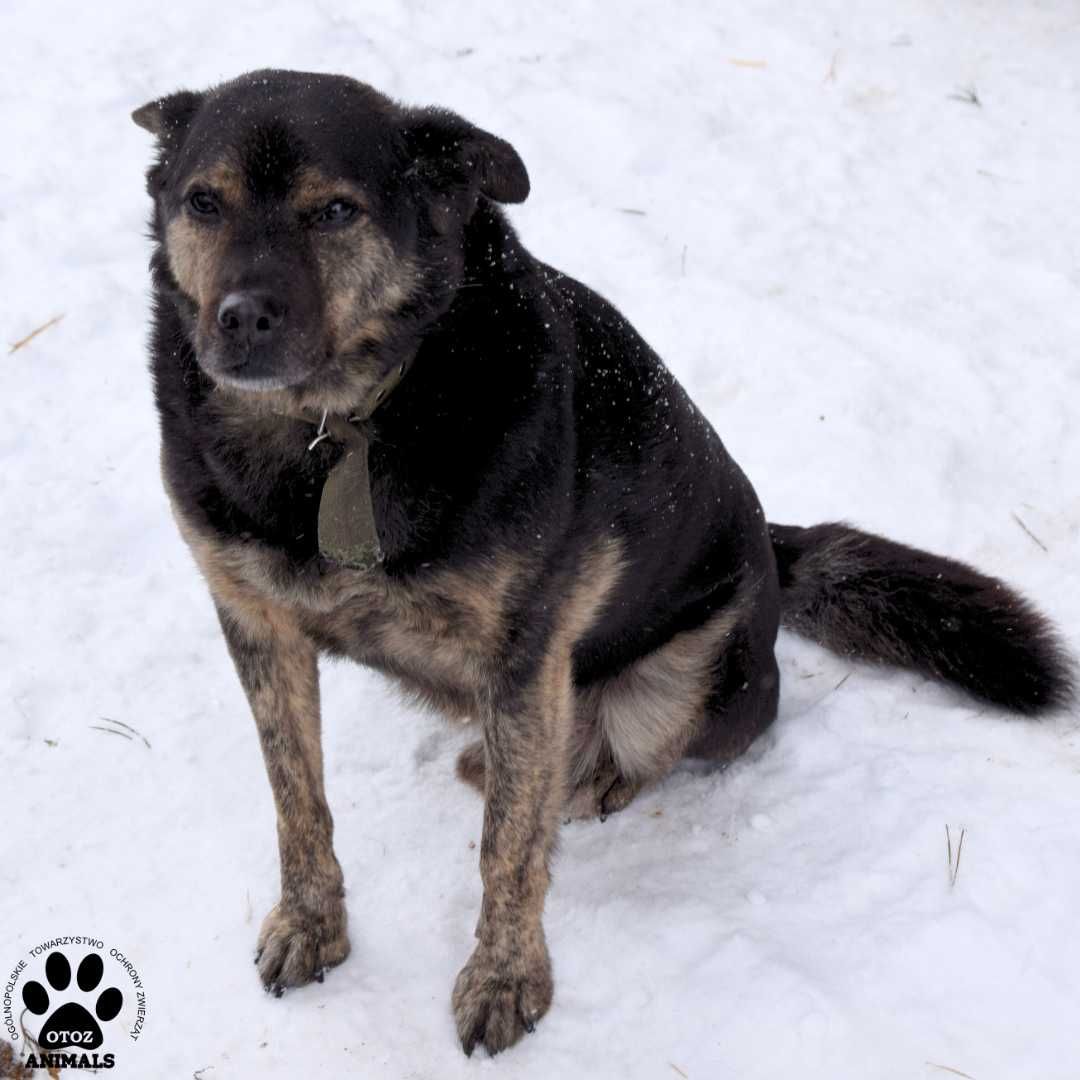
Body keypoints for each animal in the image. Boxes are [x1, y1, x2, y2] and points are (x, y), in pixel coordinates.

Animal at [132, 71, 1071, 1058]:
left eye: (336, 211)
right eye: (204, 202)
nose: (241, 317)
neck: (341, 426)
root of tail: (773, 553)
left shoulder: (523, 656)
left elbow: (507, 850)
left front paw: (506, 979)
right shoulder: (256, 625)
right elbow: (296, 798)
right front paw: (313, 924)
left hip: (685, 683)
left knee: (623, 760)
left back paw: (577, 781)